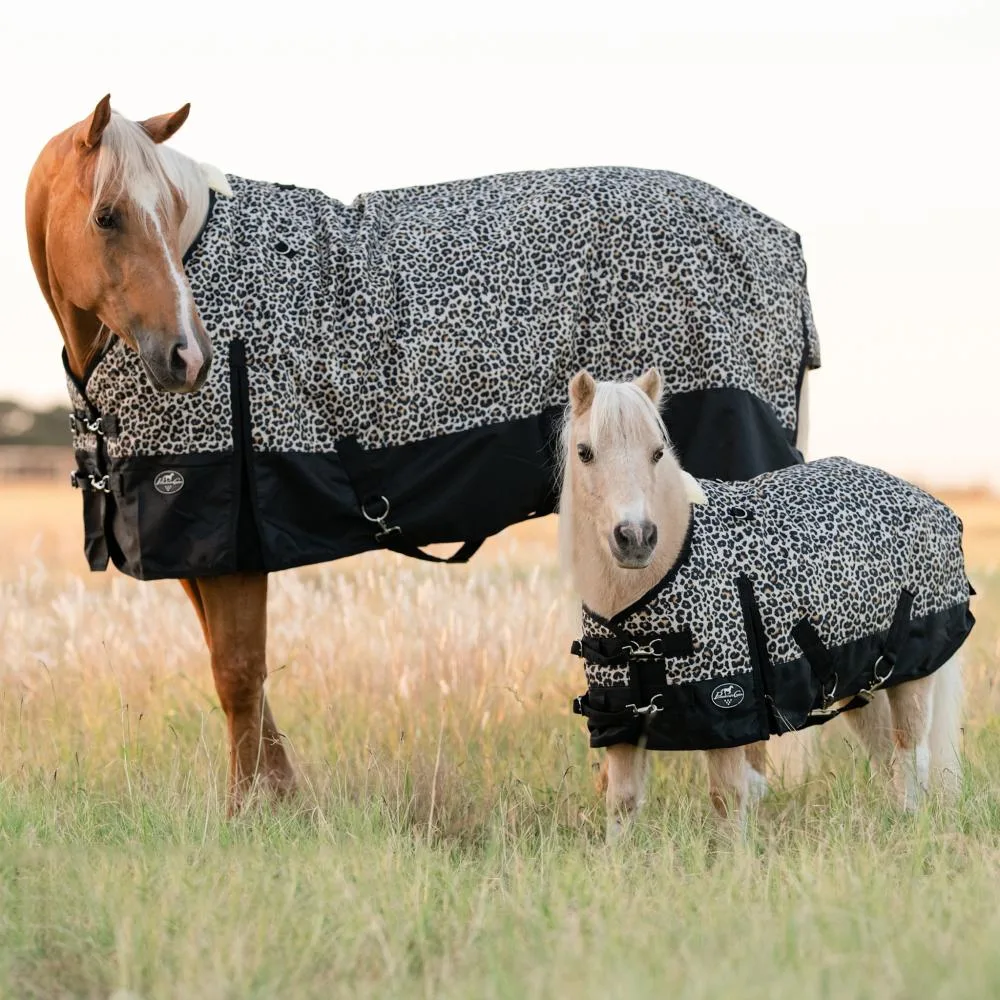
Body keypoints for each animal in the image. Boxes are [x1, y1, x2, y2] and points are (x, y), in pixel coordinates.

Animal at [26, 96, 820, 812]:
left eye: (166, 211)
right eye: (107, 216)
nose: (188, 358)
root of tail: (781, 241)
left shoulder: (228, 531)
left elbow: (239, 676)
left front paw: (248, 814)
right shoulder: (203, 545)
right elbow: (240, 677)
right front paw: (281, 801)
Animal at [559, 370, 969, 839]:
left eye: (657, 452)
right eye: (585, 452)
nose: (636, 538)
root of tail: (930, 500)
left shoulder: (726, 719)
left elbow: (726, 797)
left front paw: (735, 858)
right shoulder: (622, 726)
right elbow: (622, 803)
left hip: (912, 676)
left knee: (911, 756)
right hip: (861, 680)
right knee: (886, 759)